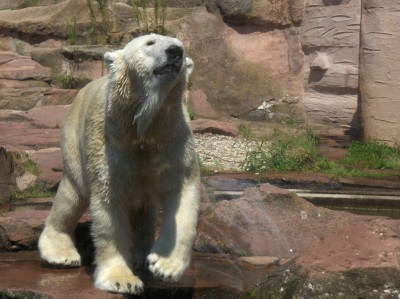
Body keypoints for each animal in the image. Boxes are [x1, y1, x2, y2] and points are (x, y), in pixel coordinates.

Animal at [38, 34, 200, 294]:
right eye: (150, 42)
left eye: (182, 46)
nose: (175, 51)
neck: (142, 127)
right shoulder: (110, 141)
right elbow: (109, 203)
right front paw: (122, 279)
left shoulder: (172, 137)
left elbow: (182, 192)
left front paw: (164, 265)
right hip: (73, 141)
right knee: (71, 195)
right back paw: (60, 253)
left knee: (144, 208)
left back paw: (141, 256)